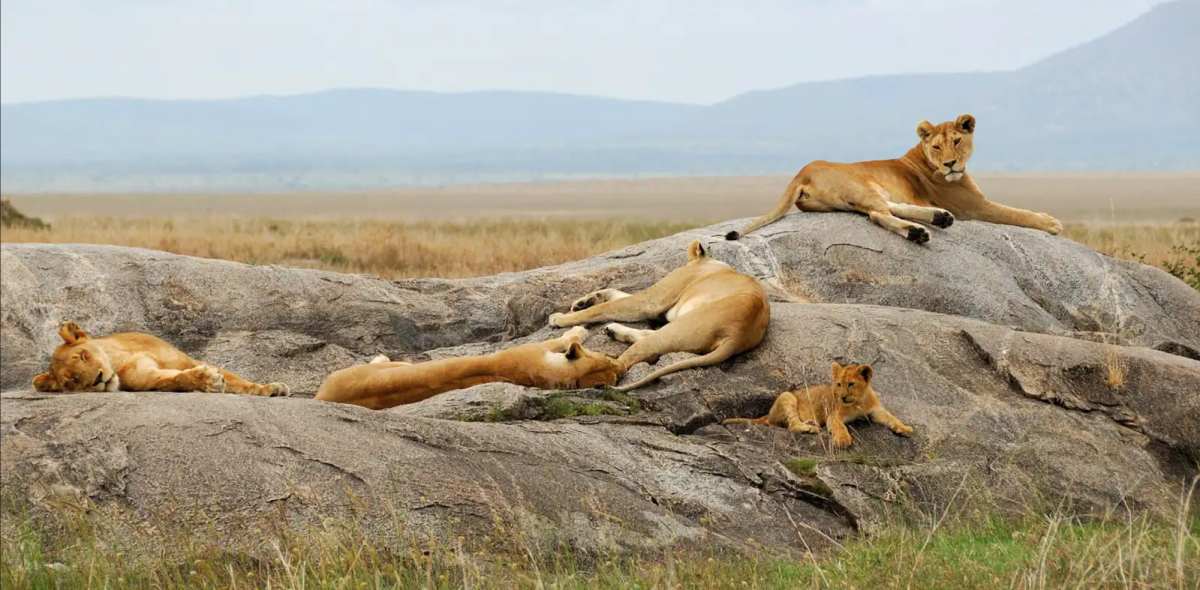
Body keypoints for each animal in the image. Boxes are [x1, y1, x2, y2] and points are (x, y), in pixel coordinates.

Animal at [32, 323, 290, 395]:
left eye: (83, 355)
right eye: (71, 380)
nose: (97, 379)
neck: (119, 359)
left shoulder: (187, 360)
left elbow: (238, 381)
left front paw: (270, 388)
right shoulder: (148, 378)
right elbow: (174, 380)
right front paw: (206, 381)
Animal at [314, 326, 624, 410]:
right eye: (607, 357)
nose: (621, 367)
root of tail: (321, 396)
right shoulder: (534, 349)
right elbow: (564, 337)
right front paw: (579, 330)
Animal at [547, 239, 768, 390]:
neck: (709, 263)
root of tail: (737, 334)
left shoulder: (650, 302)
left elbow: (605, 308)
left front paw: (560, 318)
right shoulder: (660, 310)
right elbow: (614, 294)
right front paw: (583, 301)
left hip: (678, 328)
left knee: (623, 364)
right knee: (647, 337)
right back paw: (612, 330)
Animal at [720, 359, 907, 446]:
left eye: (851, 384)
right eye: (838, 384)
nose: (841, 397)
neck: (858, 401)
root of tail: (767, 414)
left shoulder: (877, 411)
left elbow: (892, 418)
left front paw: (905, 429)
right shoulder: (833, 416)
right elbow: (840, 426)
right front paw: (843, 440)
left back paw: (810, 423)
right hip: (787, 396)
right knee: (792, 425)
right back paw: (809, 428)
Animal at [724, 113, 1065, 243]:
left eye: (956, 141)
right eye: (937, 146)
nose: (950, 164)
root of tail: (800, 173)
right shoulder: (975, 207)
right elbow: (1015, 213)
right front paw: (1050, 222)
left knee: (889, 208)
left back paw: (938, 218)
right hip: (861, 186)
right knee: (879, 214)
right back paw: (918, 232)